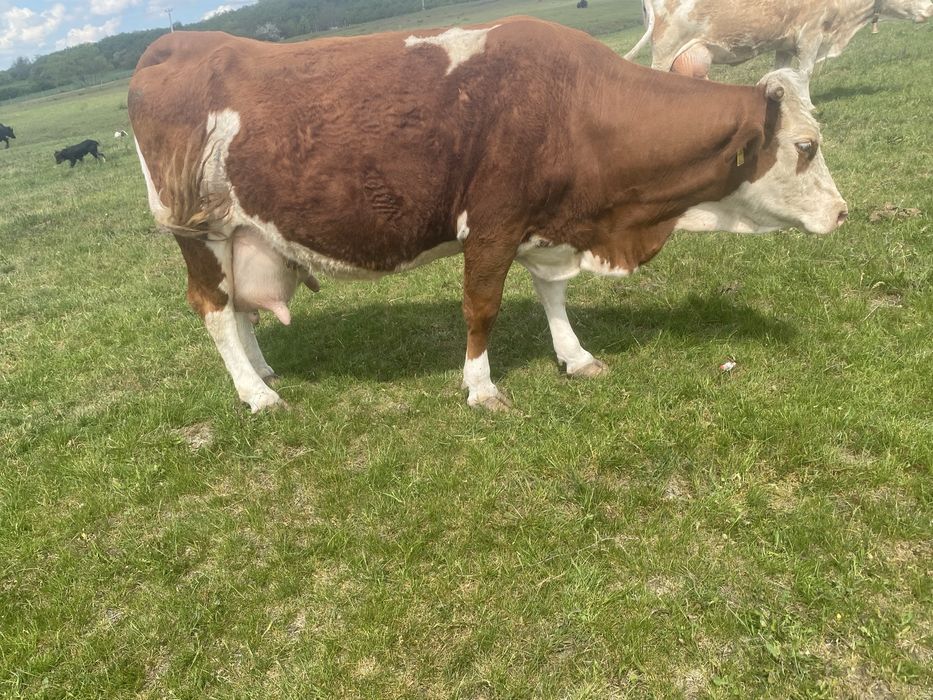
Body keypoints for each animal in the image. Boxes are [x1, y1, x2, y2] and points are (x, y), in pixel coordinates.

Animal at [128, 17, 847, 412]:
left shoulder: (548, 222)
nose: (842, 213)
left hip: (240, 232)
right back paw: (256, 394)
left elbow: (553, 295)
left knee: (238, 309)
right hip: (196, 229)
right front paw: (480, 386)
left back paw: (263, 370)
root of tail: (175, 45)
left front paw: (575, 357)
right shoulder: (492, 224)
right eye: (805, 147)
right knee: (214, 309)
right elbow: (483, 308)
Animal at [625, 0, 933, 78]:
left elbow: (780, 74)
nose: (930, 8)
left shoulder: (785, 44)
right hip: (664, 49)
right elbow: (804, 74)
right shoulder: (810, 35)